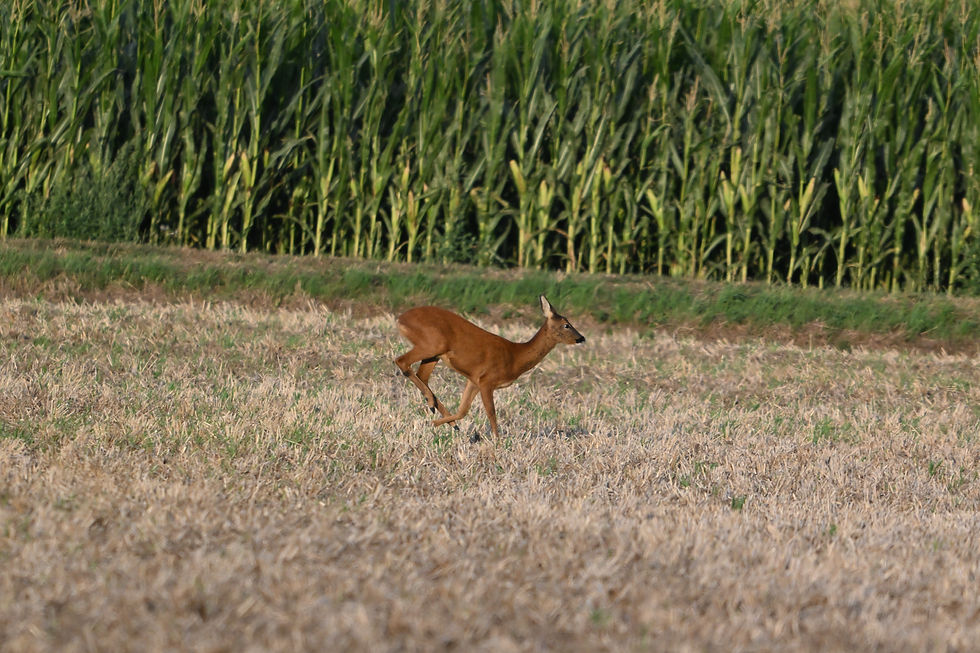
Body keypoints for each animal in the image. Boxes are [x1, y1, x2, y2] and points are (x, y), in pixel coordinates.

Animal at [394, 295, 586, 442]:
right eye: (566, 325)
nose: (581, 338)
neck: (515, 357)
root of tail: (400, 318)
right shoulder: (487, 380)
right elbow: (491, 413)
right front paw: (498, 442)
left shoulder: (474, 380)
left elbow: (463, 410)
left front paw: (438, 424)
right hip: (432, 343)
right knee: (401, 361)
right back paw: (431, 403)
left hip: (434, 352)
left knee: (421, 375)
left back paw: (440, 413)